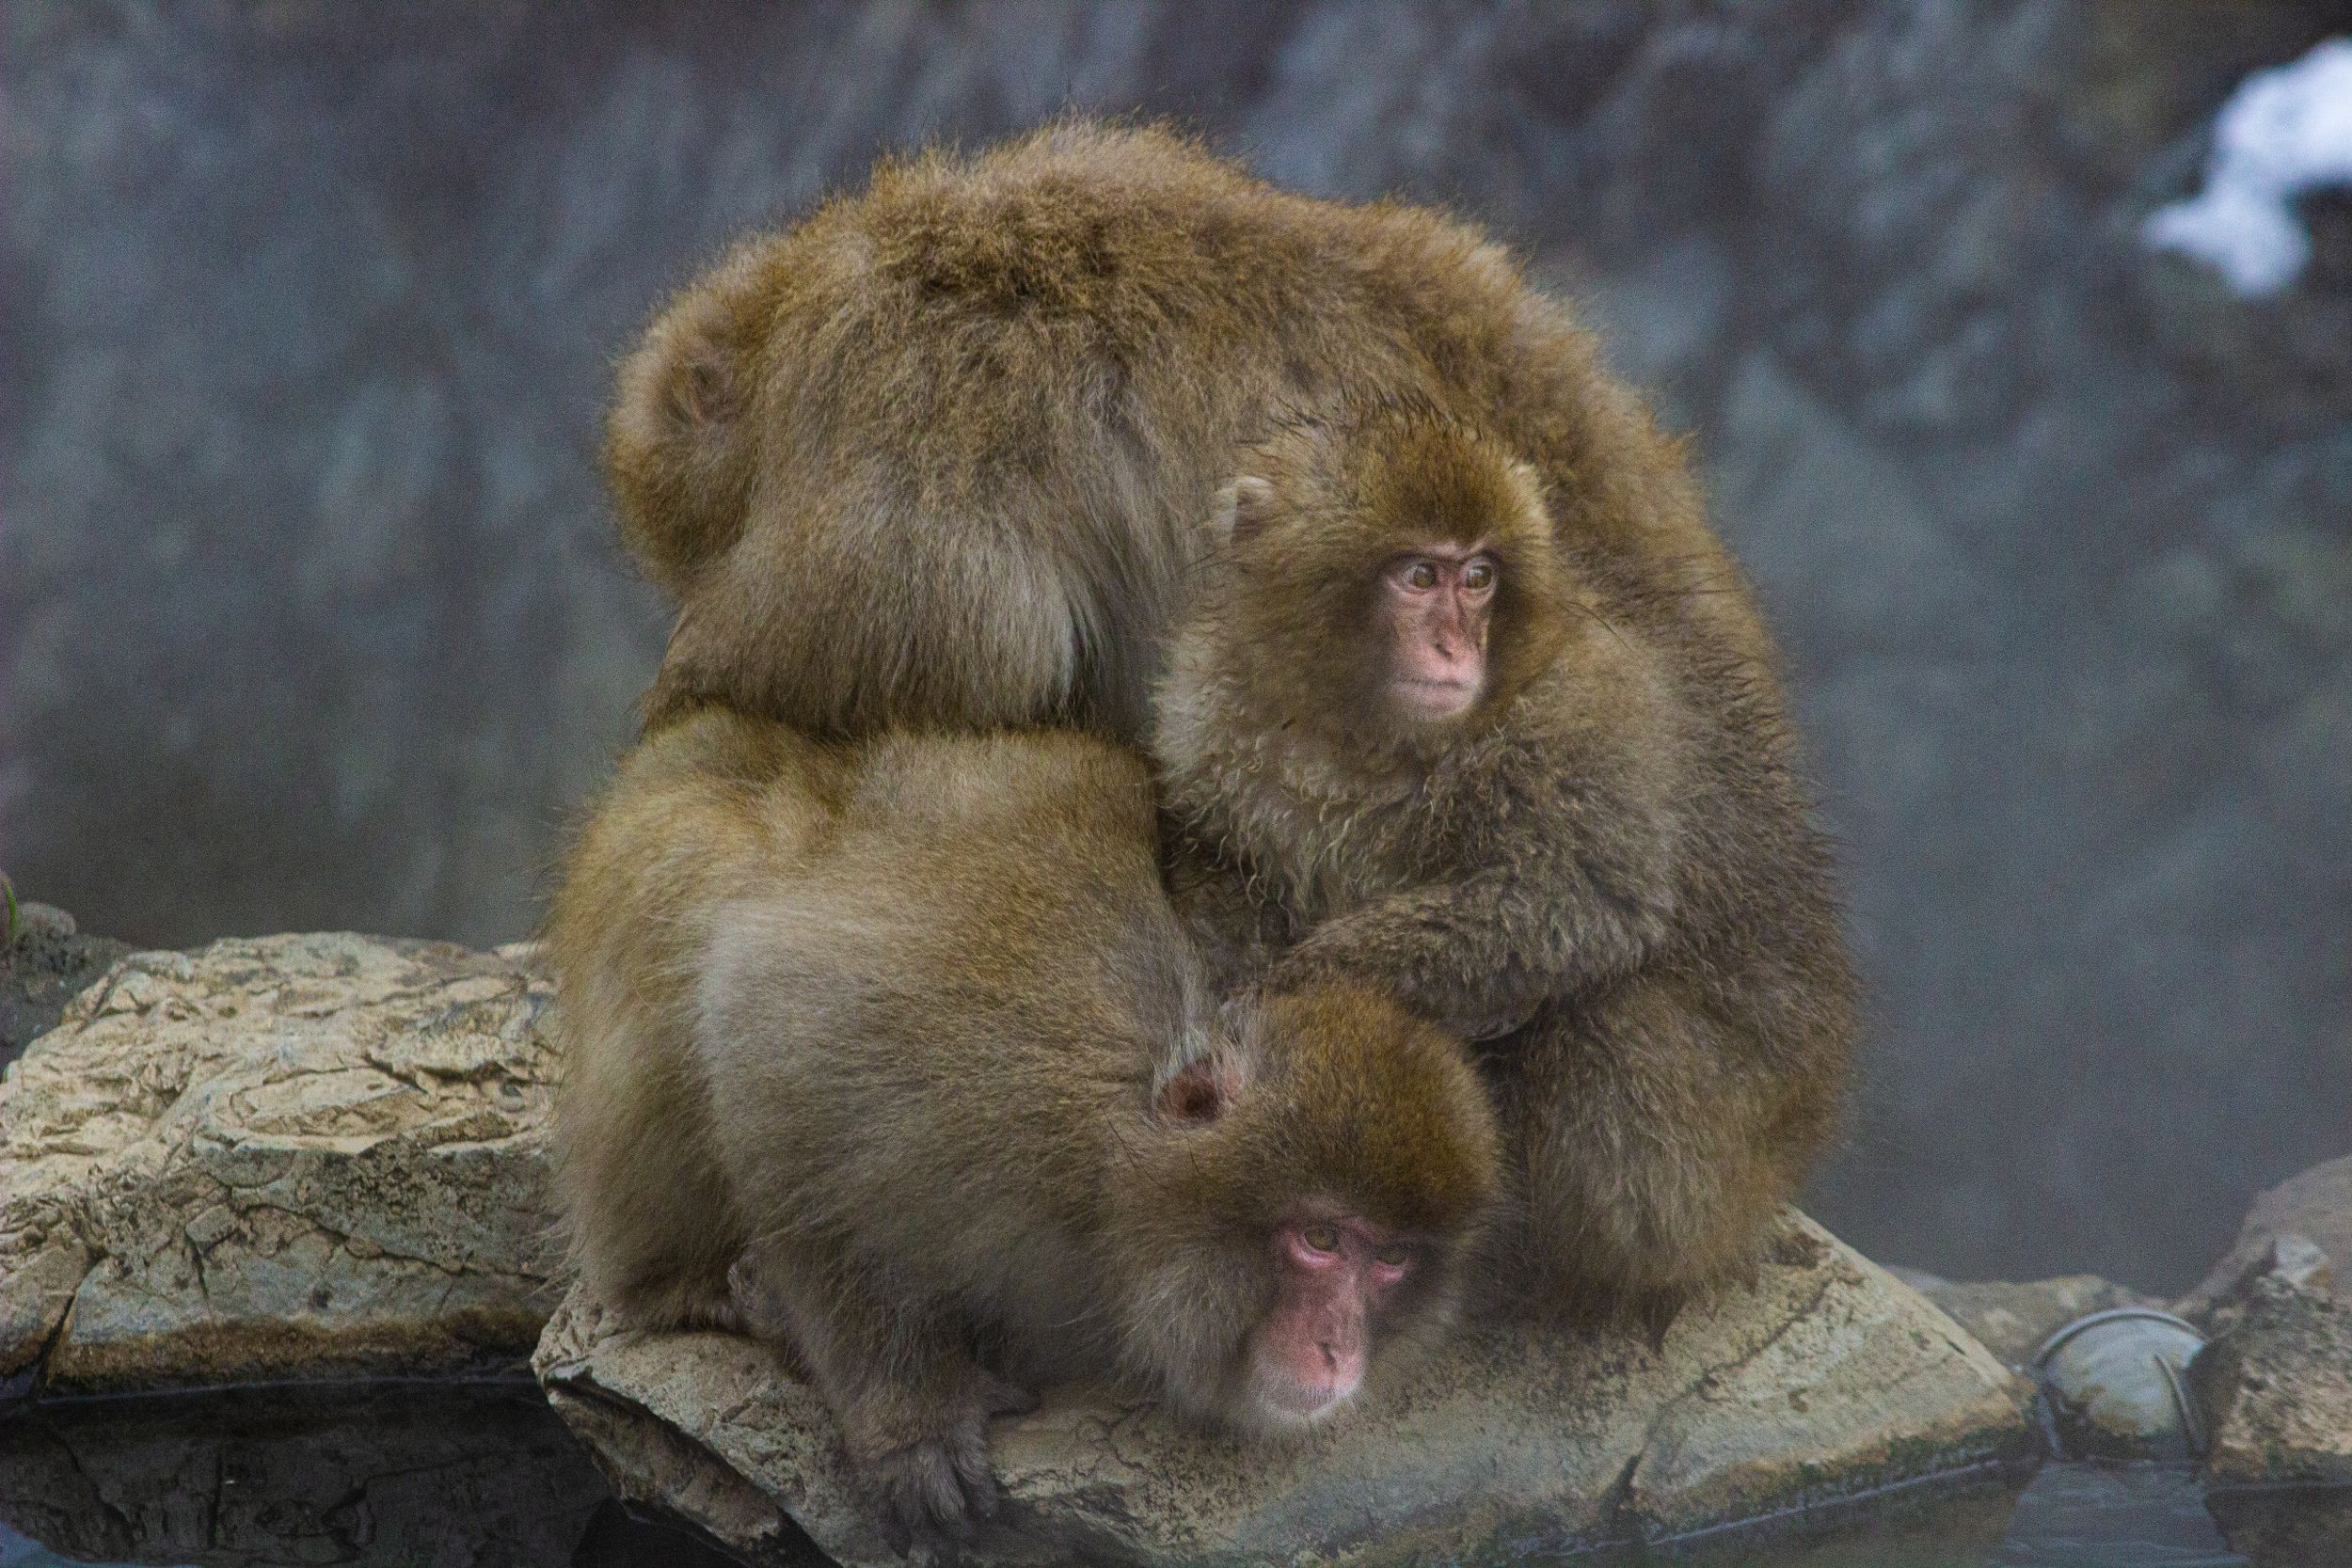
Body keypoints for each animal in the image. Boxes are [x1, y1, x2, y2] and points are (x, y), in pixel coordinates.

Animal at [544, 708, 1501, 1552]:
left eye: (1390, 1260)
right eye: (1320, 1238)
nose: (1341, 1349)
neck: (1113, 1183)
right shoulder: (1007, 1067)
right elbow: (771, 1043)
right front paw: (910, 1412)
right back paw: (685, 1284)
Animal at [1151, 404, 1858, 1330]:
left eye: (1480, 576)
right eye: (1421, 574)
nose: (1457, 646)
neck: (1360, 734)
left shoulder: (1573, 721)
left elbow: (1572, 904)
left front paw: (1282, 992)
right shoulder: (1210, 703)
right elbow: (1216, 847)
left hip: (1731, 1160)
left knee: (1608, 1033)